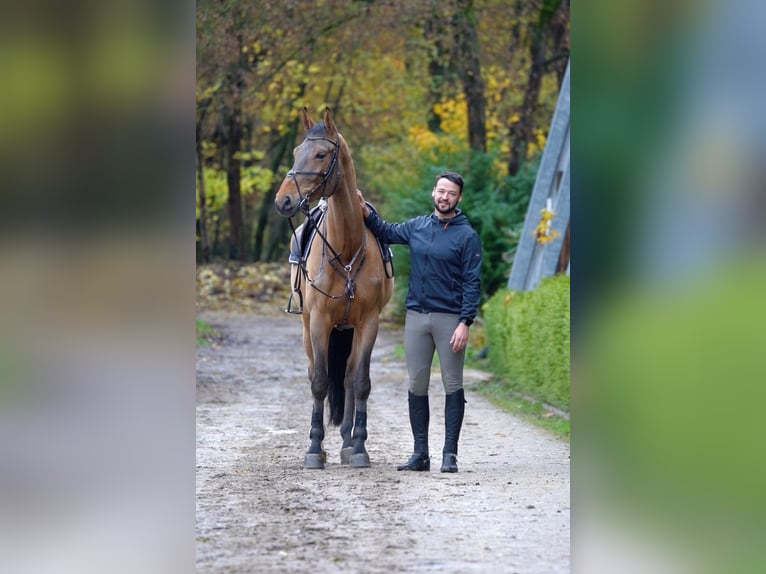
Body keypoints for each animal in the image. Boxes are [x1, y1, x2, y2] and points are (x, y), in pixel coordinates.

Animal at [274, 109, 392, 472]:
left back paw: (347, 444)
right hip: (309, 329)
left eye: (321, 154)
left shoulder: (368, 324)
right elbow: (320, 382)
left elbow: (360, 382)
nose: (283, 200)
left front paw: (359, 448)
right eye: (296, 150)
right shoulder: (318, 322)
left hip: (349, 330)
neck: (346, 247)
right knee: (318, 374)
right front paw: (314, 449)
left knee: (349, 377)